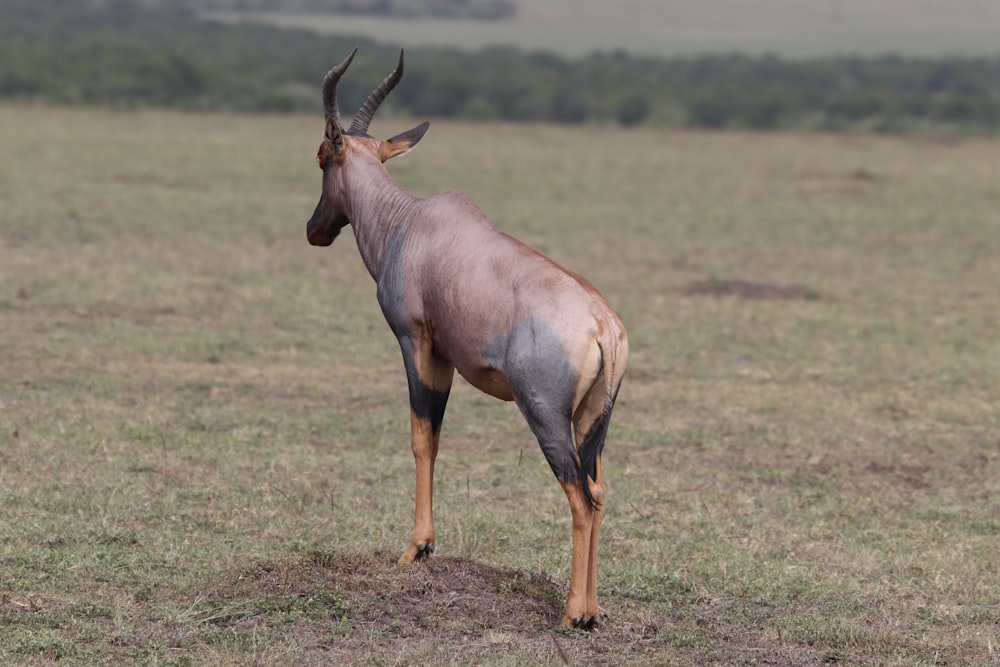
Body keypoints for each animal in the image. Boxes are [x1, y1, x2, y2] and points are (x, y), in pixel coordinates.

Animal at [308, 48, 628, 632]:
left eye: (322, 156)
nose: (314, 230)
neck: (412, 223)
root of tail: (602, 326)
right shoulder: (448, 358)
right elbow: (434, 439)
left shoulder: (418, 345)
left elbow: (422, 438)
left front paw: (416, 549)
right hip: (595, 419)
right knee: (598, 489)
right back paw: (594, 611)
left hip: (545, 414)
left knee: (579, 495)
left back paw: (573, 615)